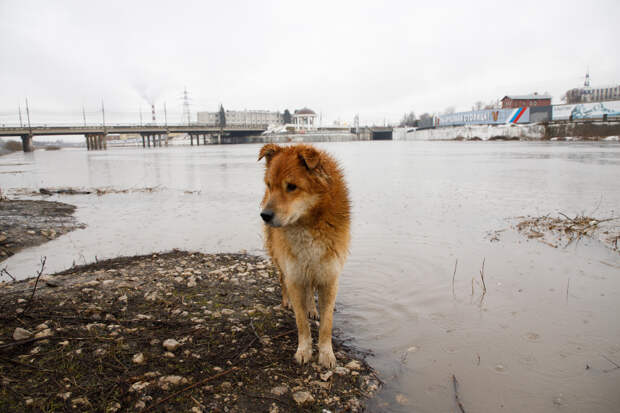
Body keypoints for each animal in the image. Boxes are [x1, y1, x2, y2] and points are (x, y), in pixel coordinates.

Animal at [260, 142, 352, 366]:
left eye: (292, 186)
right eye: (270, 185)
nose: (264, 215)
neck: (307, 224)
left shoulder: (329, 277)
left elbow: (327, 323)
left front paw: (326, 354)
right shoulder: (294, 275)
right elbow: (301, 321)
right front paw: (304, 350)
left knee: (310, 289)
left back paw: (312, 308)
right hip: (280, 261)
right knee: (283, 281)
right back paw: (286, 302)